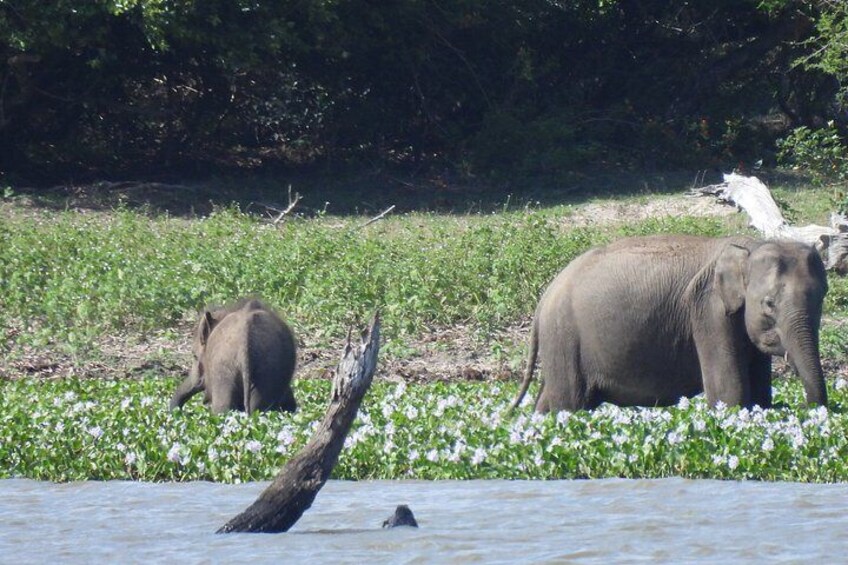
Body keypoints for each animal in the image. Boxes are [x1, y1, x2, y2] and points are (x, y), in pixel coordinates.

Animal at [511, 235, 829, 413]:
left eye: (822, 297)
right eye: (769, 303)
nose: (804, 408)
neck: (750, 246)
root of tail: (544, 298)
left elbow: (760, 395)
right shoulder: (708, 311)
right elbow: (729, 395)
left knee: (549, 401)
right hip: (563, 337)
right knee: (570, 404)